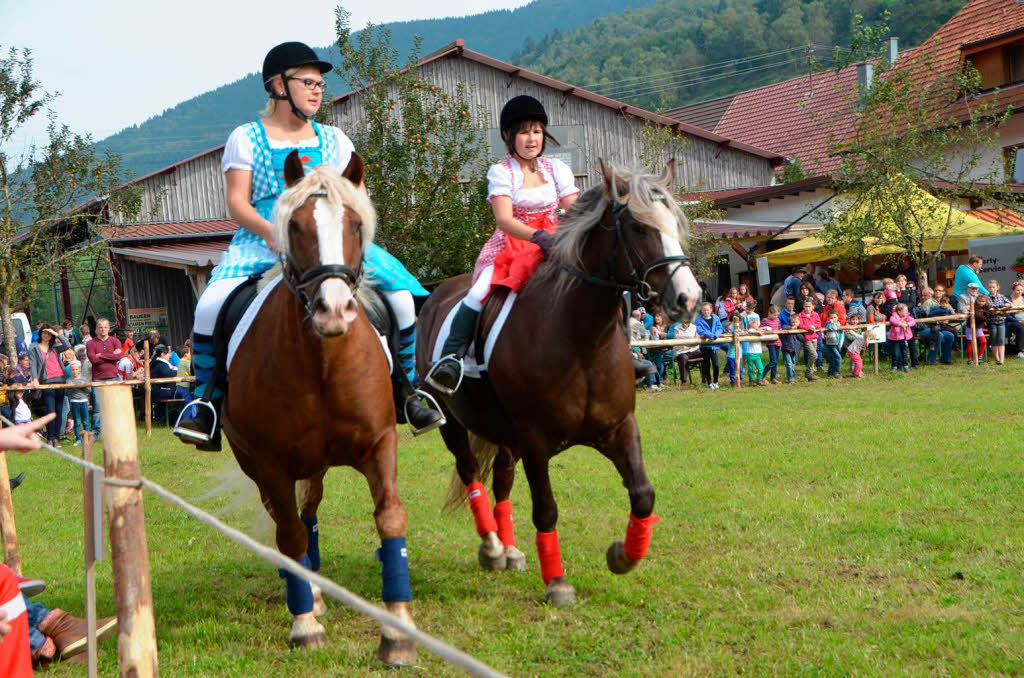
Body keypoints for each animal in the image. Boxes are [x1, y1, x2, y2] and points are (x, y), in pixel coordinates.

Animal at [223, 151, 415, 667]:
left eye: (355, 223)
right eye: (295, 227)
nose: (334, 310)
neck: (322, 363)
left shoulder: (380, 443)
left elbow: (390, 518)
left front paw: (399, 632)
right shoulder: (270, 462)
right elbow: (287, 535)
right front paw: (304, 624)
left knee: (308, 513)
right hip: (258, 465)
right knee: (286, 522)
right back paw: (308, 594)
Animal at [417, 160, 704, 606]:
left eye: (675, 221)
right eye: (640, 228)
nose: (689, 300)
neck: (581, 341)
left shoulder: (620, 427)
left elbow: (643, 494)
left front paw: (622, 556)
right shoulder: (535, 439)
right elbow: (546, 508)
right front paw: (557, 582)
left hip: (506, 435)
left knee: (501, 478)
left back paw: (510, 549)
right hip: (454, 422)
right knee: (470, 474)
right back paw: (492, 547)